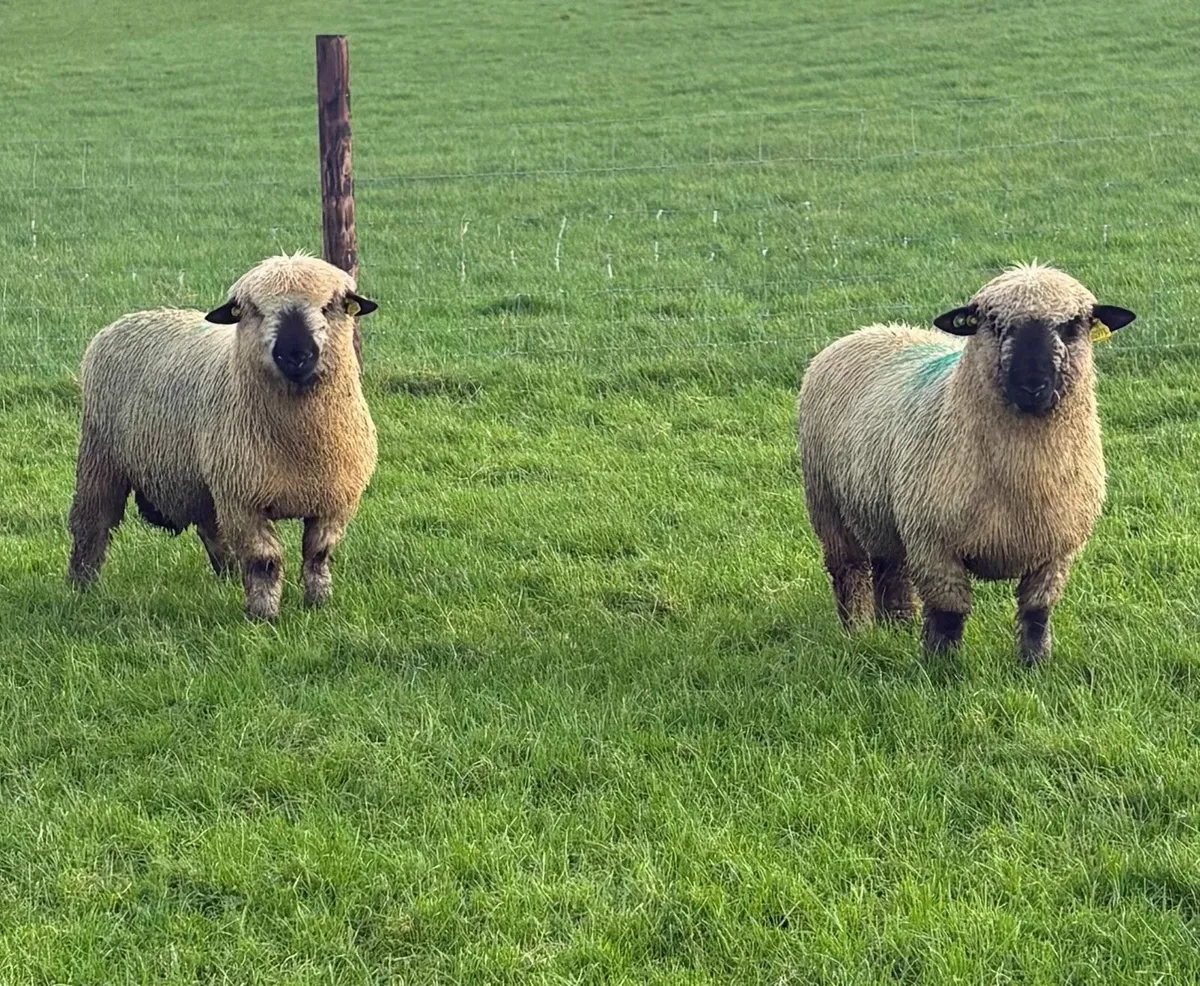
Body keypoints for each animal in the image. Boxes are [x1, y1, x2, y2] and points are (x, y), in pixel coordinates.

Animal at [67, 252, 380, 621]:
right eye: (254, 309)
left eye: (330, 306)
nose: (295, 354)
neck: (299, 441)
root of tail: (133, 316)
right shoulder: (243, 500)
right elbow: (264, 561)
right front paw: (263, 616)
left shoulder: (336, 500)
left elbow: (318, 555)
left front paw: (318, 604)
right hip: (100, 456)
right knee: (92, 525)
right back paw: (81, 586)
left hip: (201, 480)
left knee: (211, 528)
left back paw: (228, 575)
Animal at [796, 262, 1135, 665]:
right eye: (995, 324)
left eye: (1072, 325)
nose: (1032, 385)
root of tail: (870, 329)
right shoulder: (934, 543)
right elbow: (948, 614)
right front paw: (942, 667)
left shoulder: (1056, 550)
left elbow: (1037, 613)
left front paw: (1034, 664)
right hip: (828, 505)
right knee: (848, 571)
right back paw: (856, 630)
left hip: (881, 508)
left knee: (889, 566)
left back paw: (897, 626)